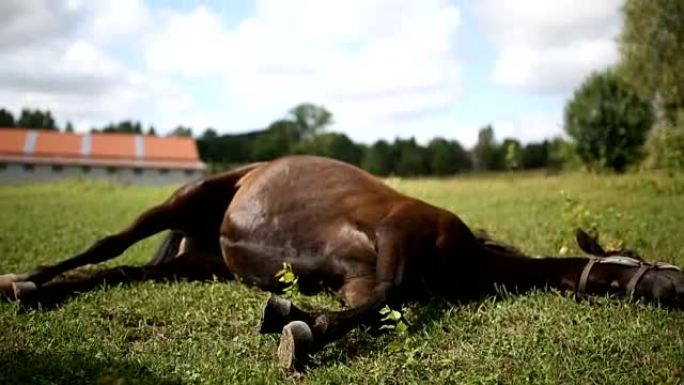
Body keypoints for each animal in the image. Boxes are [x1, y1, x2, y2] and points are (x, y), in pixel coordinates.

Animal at [1, 154, 684, 368]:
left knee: (121, 272)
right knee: (106, 247)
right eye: (658, 265)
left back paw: (38, 292)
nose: (679, 291)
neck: (467, 256)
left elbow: (378, 306)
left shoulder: (359, 275)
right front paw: (295, 328)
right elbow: (387, 296)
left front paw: (294, 318)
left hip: (193, 263)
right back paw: (23, 283)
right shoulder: (392, 236)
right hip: (183, 200)